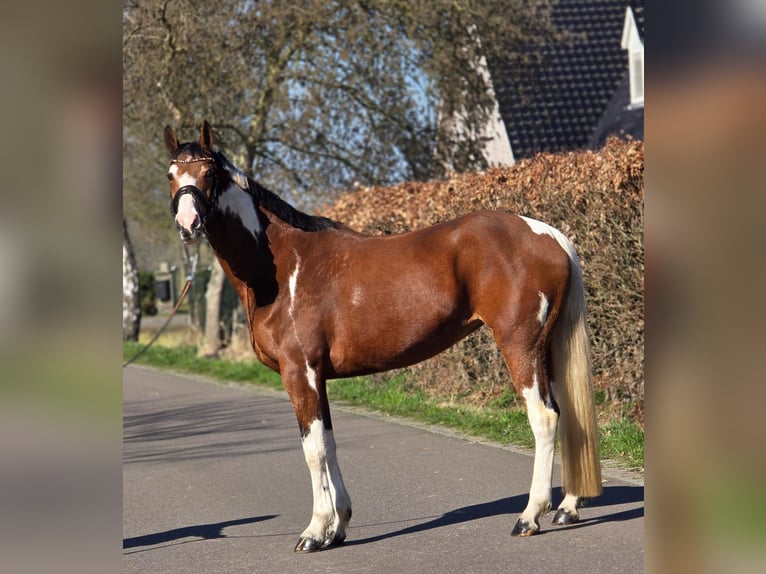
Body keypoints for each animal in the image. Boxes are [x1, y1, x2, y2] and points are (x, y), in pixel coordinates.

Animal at [162, 121, 601, 553]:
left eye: (209, 173)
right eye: (171, 175)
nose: (187, 225)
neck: (282, 269)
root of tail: (545, 232)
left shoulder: (299, 373)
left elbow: (312, 449)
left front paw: (314, 531)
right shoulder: (318, 378)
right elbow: (329, 443)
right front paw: (337, 526)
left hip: (520, 346)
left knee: (544, 418)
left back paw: (530, 516)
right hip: (547, 348)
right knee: (568, 413)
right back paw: (568, 508)